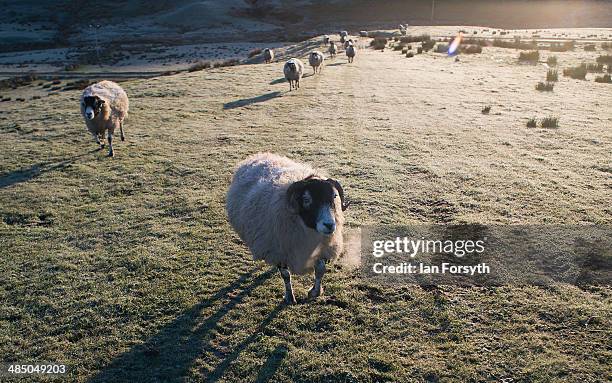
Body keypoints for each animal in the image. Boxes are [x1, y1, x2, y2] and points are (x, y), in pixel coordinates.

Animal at [226, 154, 352, 306]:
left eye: (334, 197)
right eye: (306, 199)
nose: (329, 225)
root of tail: (259, 155)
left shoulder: (322, 249)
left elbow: (320, 270)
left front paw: (315, 292)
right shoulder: (279, 251)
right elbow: (286, 275)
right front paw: (289, 297)